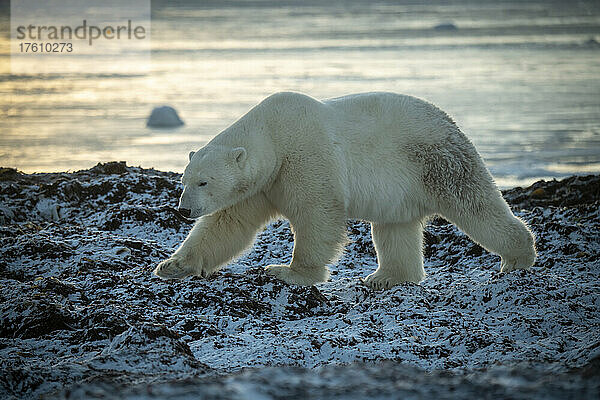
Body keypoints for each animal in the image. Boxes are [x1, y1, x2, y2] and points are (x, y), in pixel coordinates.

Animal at [152, 92, 536, 290]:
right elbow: (227, 226)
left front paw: (288, 272)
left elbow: (317, 214)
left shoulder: (304, 157)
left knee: (476, 205)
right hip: (403, 187)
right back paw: (386, 277)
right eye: (183, 182)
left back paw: (517, 257)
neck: (273, 133)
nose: (184, 210)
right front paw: (171, 265)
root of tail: (449, 120)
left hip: (437, 160)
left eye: (204, 182)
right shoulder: (261, 184)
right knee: (394, 229)